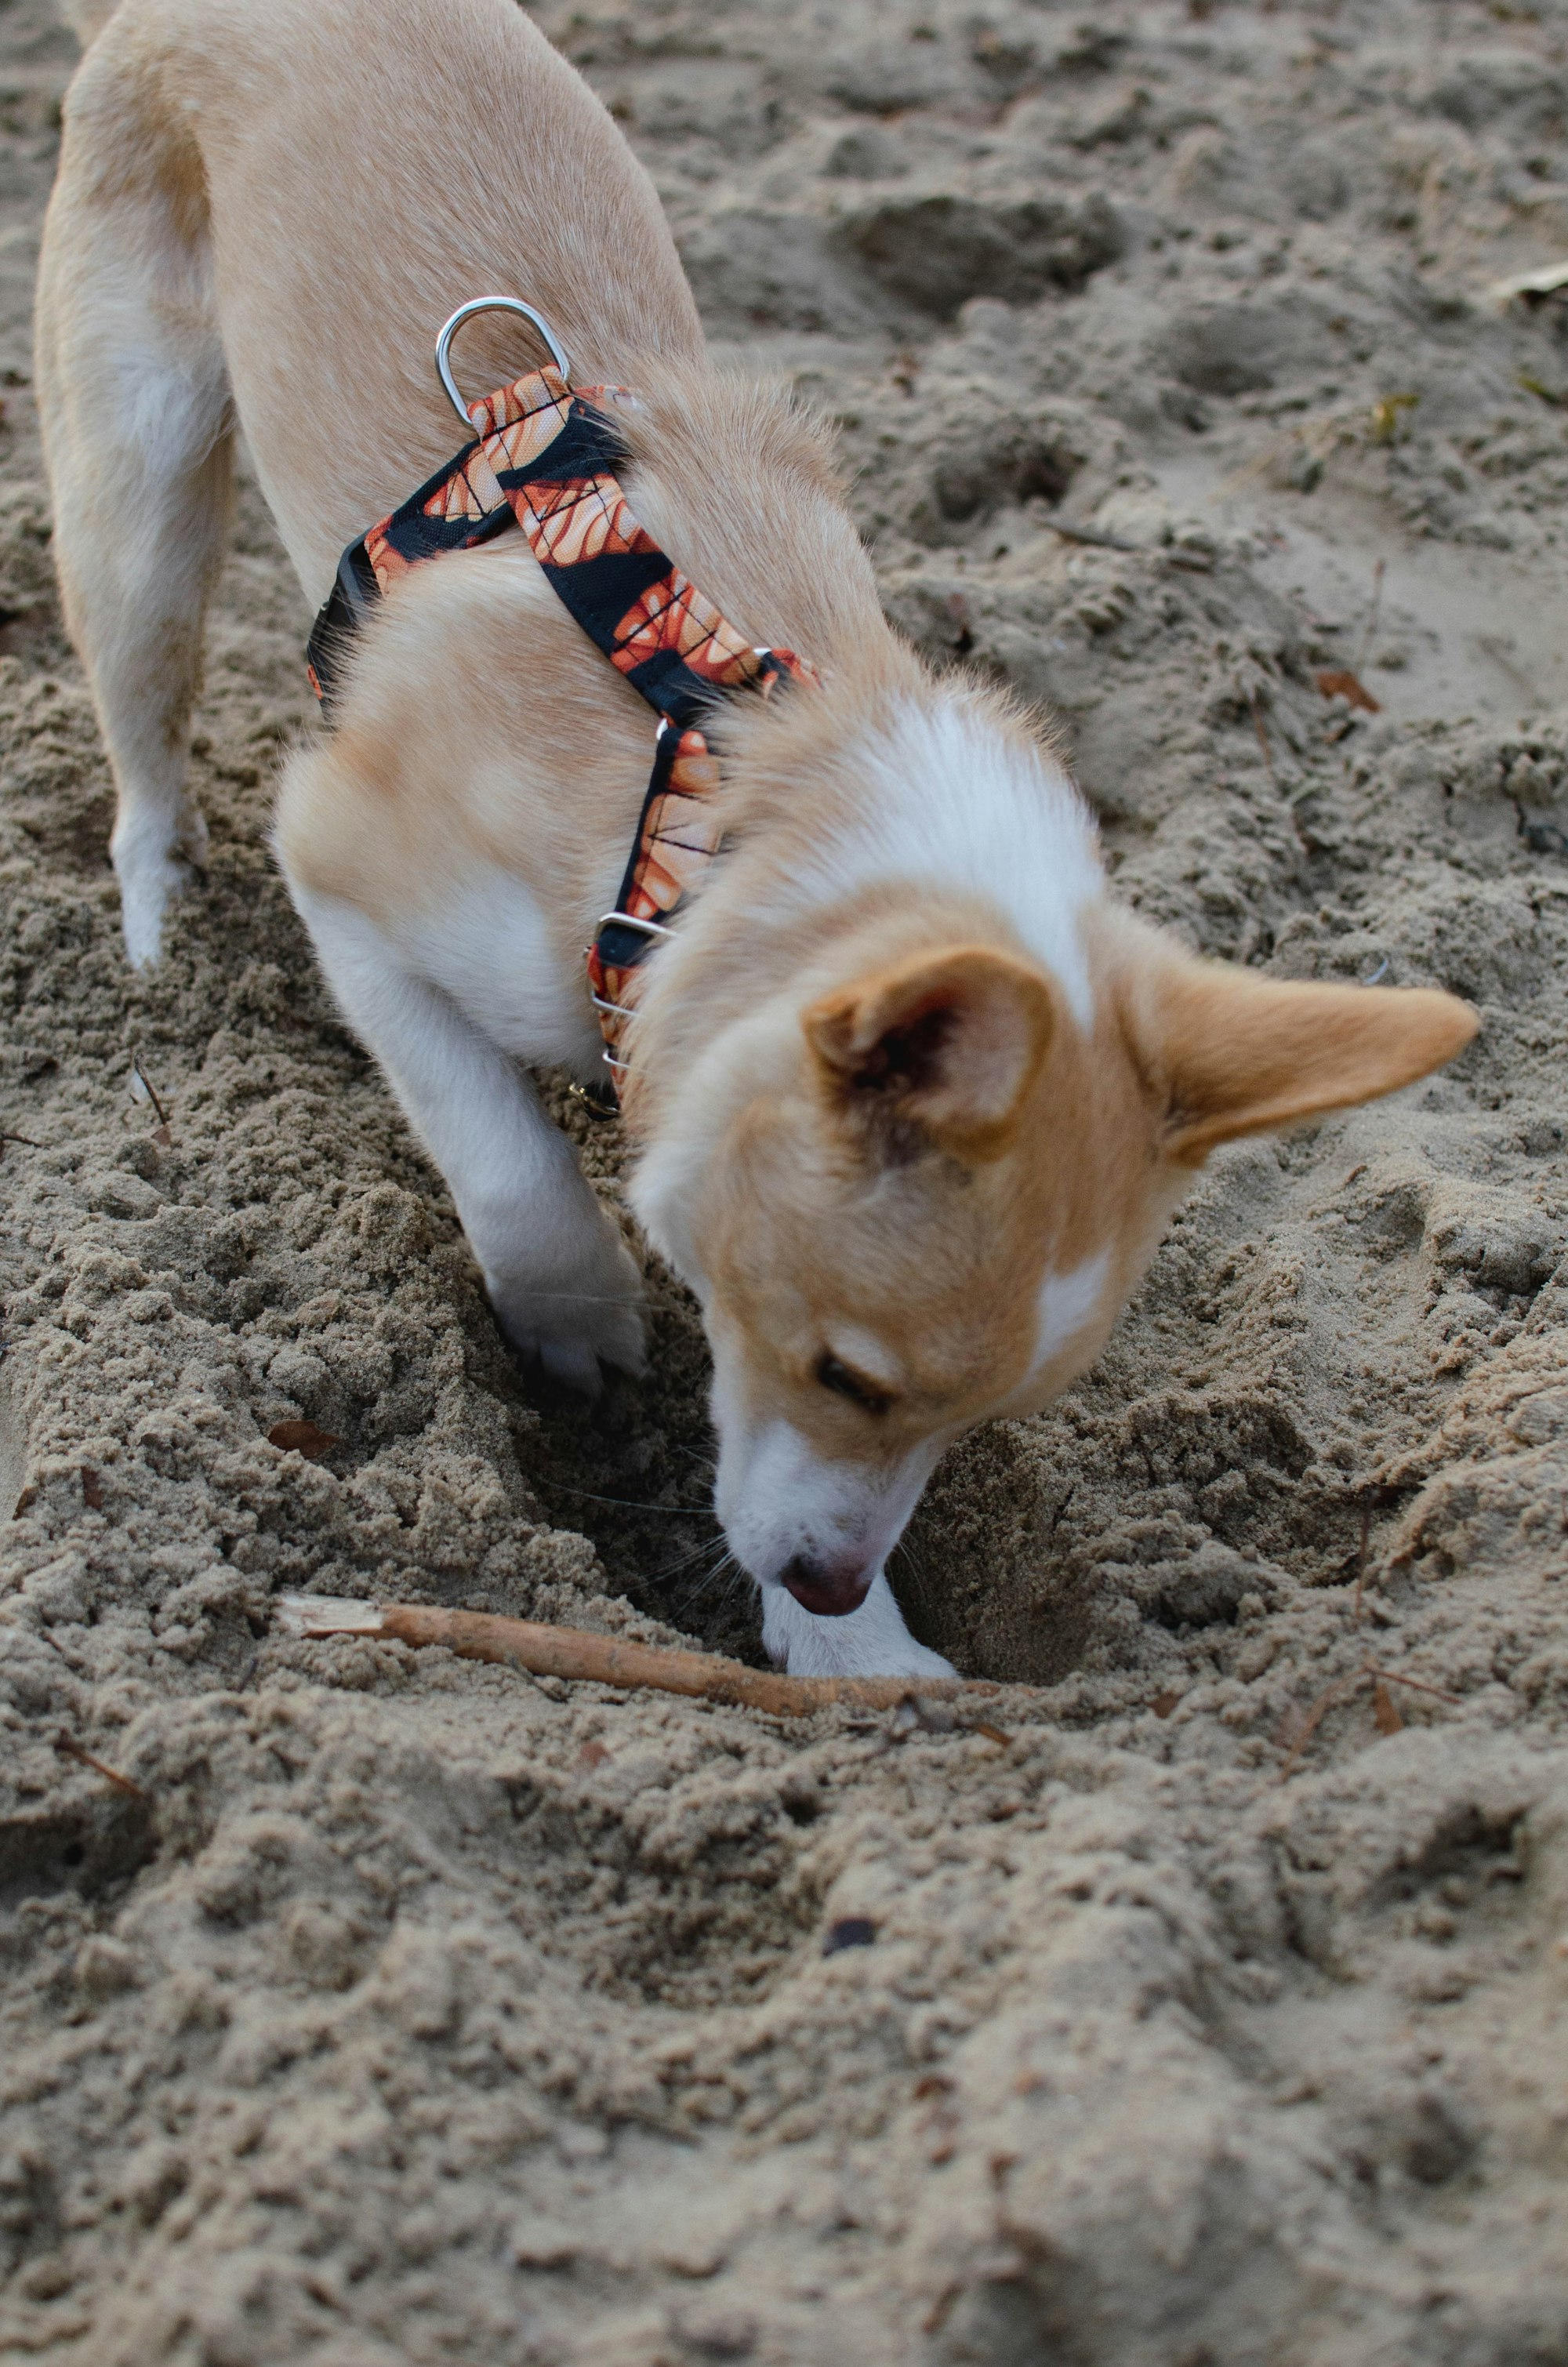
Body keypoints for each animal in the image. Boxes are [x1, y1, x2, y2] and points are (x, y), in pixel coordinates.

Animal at [39, 0, 1487, 1685]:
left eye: (984, 1417)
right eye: (848, 1374)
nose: (837, 1585)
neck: (703, 815)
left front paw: (860, 1659)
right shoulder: (343, 876)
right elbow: (510, 1160)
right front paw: (583, 1329)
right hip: (138, 481)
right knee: (142, 723)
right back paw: (157, 936)